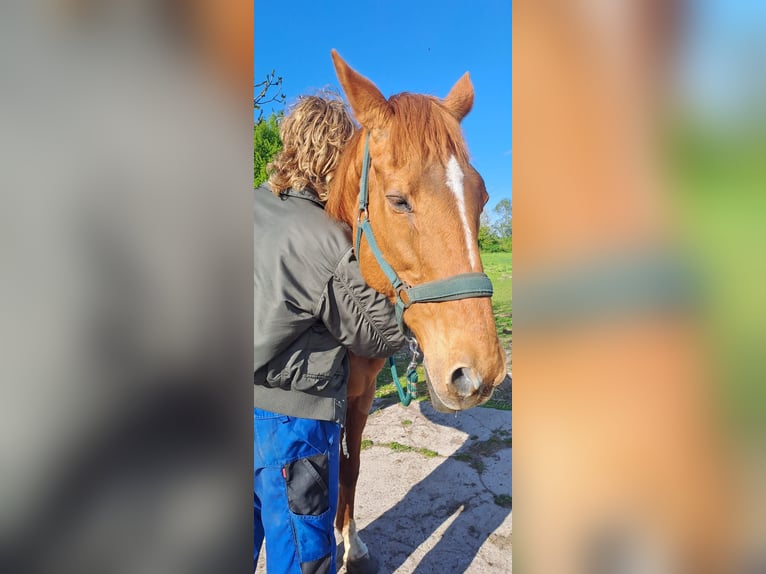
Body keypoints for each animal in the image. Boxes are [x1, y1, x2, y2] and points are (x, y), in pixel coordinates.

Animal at [324, 50, 508, 571]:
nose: (479, 373)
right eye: (397, 200)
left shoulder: (360, 396)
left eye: (482, 197)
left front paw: (351, 543)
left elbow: (350, 466)